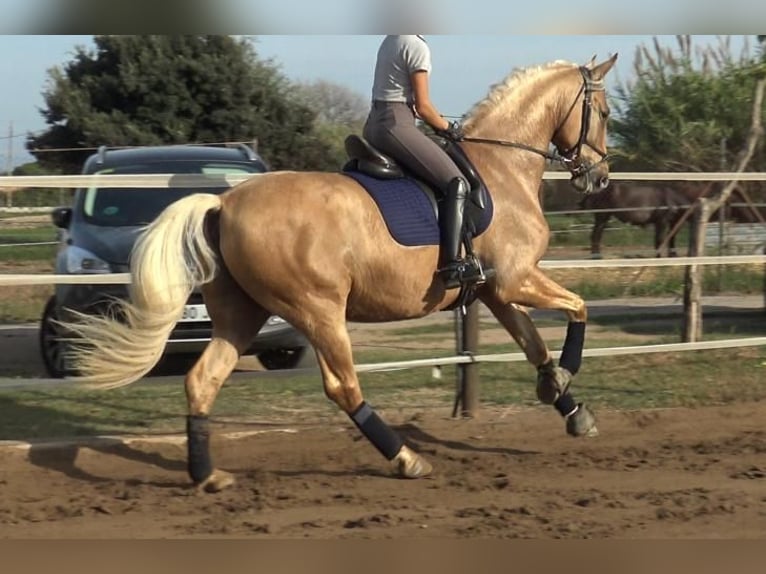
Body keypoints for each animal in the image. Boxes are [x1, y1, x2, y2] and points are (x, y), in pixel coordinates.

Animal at [64, 55, 616, 496]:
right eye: (607, 114)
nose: (599, 177)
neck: (502, 166)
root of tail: (223, 203)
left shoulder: (495, 290)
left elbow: (534, 344)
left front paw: (569, 406)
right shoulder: (514, 279)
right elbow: (578, 309)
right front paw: (565, 377)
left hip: (242, 315)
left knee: (203, 380)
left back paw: (208, 476)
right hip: (319, 311)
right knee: (343, 387)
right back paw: (407, 459)